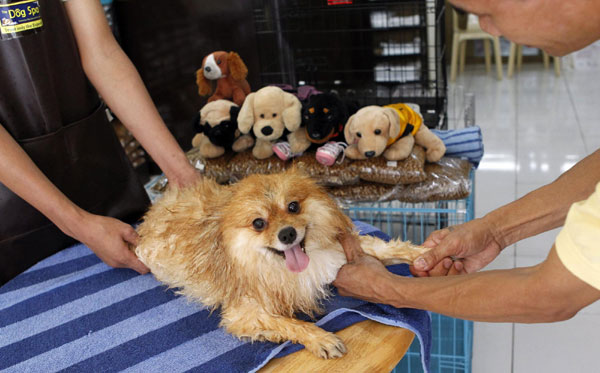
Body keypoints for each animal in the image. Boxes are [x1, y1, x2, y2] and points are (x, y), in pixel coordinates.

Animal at [135, 168, 426, 358]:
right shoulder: (244, 314)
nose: (287, 234)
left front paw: (423, 253)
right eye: (258, 223)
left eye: (293, 206)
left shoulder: (338, 254)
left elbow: (388, 248)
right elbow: (290, 323)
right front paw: (321, 339)